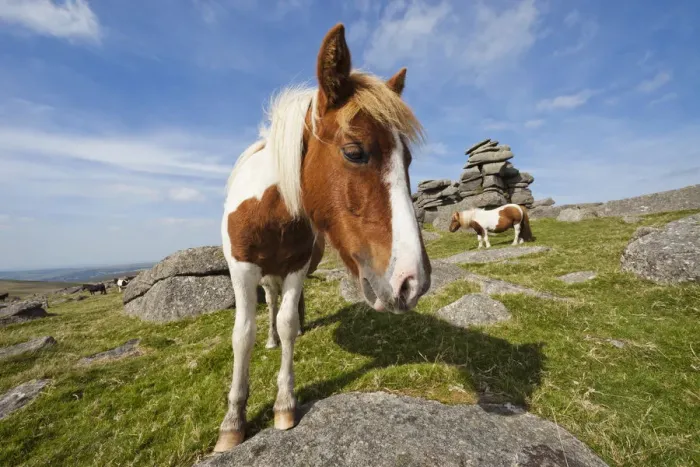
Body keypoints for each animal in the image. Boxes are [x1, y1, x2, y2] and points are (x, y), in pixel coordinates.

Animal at [216, 23, 431, 452]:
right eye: (354, 151)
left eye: (408, 160)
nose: (412, 282)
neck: (271, 211)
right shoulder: (242, 269)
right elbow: (242, 335)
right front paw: (233, 422)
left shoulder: (298, 267)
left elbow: (286, 322)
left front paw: (285, 404)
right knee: (266, 305)